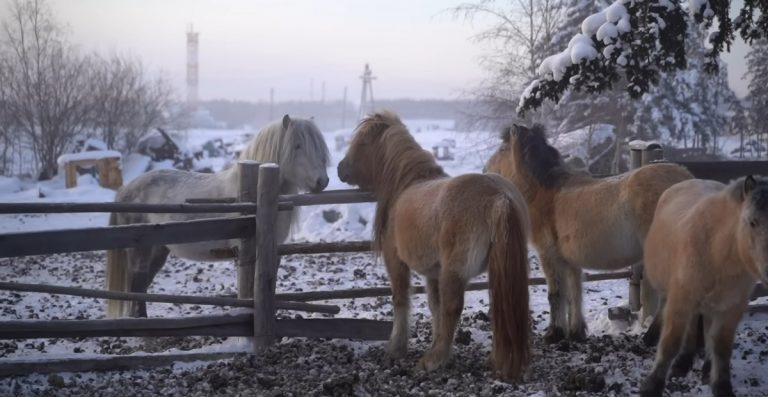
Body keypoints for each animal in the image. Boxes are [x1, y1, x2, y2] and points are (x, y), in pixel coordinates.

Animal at [106, 114, 330, 316]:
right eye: (297, 146)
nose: (323, 181)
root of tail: (126, 189)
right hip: (140, 250)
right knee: (137, 284)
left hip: (159, 249)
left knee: (143, 284)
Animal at [340, 110, 532, 378]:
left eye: (362, 143)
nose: (340, 169)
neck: (406, 183)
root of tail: (500, 197)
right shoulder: (433, 272)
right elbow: (435, 307)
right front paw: (433, 341)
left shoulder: (396, 261)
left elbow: (402, 299)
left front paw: (397, 347)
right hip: (499, 268)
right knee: (500, 307)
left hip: (455, 271)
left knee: (454, 308)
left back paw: (434, 361)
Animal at [488, 124, 692, 340]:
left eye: (502, 149)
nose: (486, 169)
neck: (545, 193)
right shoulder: (570, 261)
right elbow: (574, 294)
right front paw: (576, 331)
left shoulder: (548, 255)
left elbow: (556, 295)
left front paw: (554, 333)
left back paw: (652, 337)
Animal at [640, 176, 768, 396]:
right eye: (752, 222)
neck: (718, 253)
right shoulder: (681, 301)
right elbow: (671, 342)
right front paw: (652, 385)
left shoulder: (731, 308)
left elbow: (721, 347)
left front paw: (721, 385)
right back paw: (678, 359)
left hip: (711, 304)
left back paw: (703, 367)